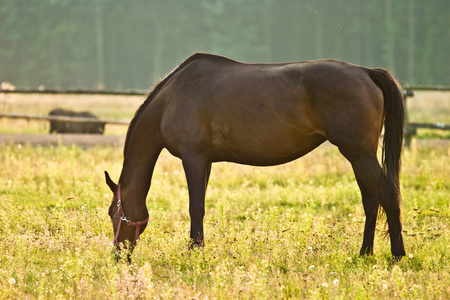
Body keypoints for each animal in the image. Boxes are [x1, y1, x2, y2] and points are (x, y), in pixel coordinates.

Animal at [104, 53, 404, 260]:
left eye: (112, 213)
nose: (118, 255)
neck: (172, 98)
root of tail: (367, 72)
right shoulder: (206, 162)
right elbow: (200, 207)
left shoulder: (193, 158)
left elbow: (195, 207)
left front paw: (194, 250)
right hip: (359, 156)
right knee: (370, 201)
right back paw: (364, 252)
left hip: (359, 154)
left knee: (387, 194)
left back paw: (397, 254)